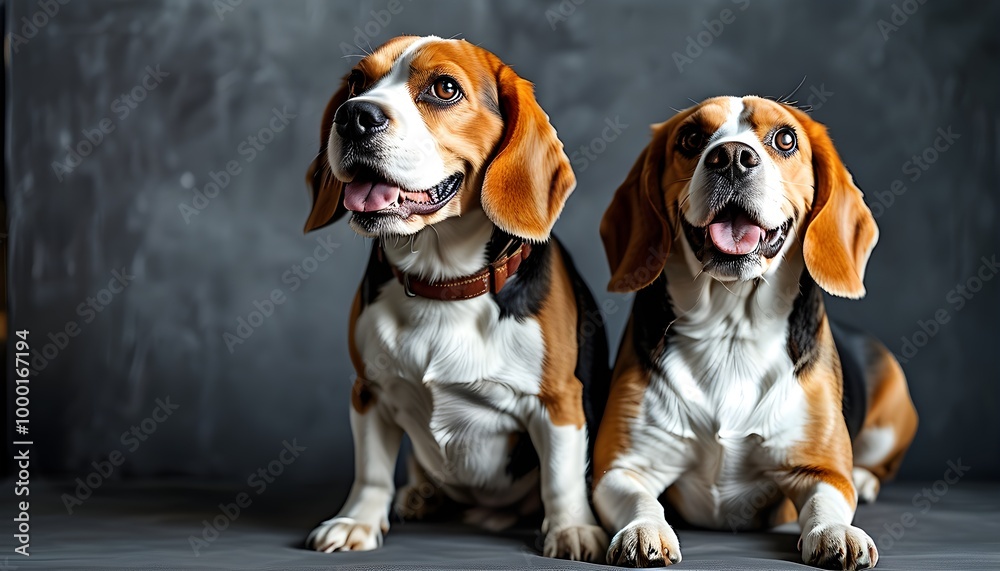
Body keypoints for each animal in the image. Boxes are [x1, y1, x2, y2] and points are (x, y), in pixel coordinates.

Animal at [300, 36, 604, 564]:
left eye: (444, 89)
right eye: (358, 82)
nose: (353, 116)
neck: (443, 283)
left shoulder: (560, 400)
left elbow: (561, 476)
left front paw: (571, 529)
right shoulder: (368, 390)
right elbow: (371, 470)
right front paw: (357, 521)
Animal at [592, 96, 920, 568]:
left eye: (785, 139)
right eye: (691, 138)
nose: (731, 157)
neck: (731, 331)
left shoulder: (821, 469)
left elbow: (827, 500)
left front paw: (837, 532)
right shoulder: (618, 468)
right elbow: (640, 499)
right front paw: (644, 529)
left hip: (891, 418)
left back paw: (866, 479)